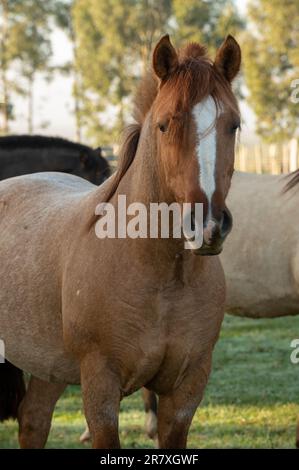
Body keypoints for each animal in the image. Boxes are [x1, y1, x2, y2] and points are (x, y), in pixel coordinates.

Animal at [0, 34, 241, 448]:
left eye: (234, 125)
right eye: (164, 125)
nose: (207, 224)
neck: (162, 277)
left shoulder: (186, 391)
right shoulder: (100, 389)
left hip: (48, 366)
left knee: (33, 420)